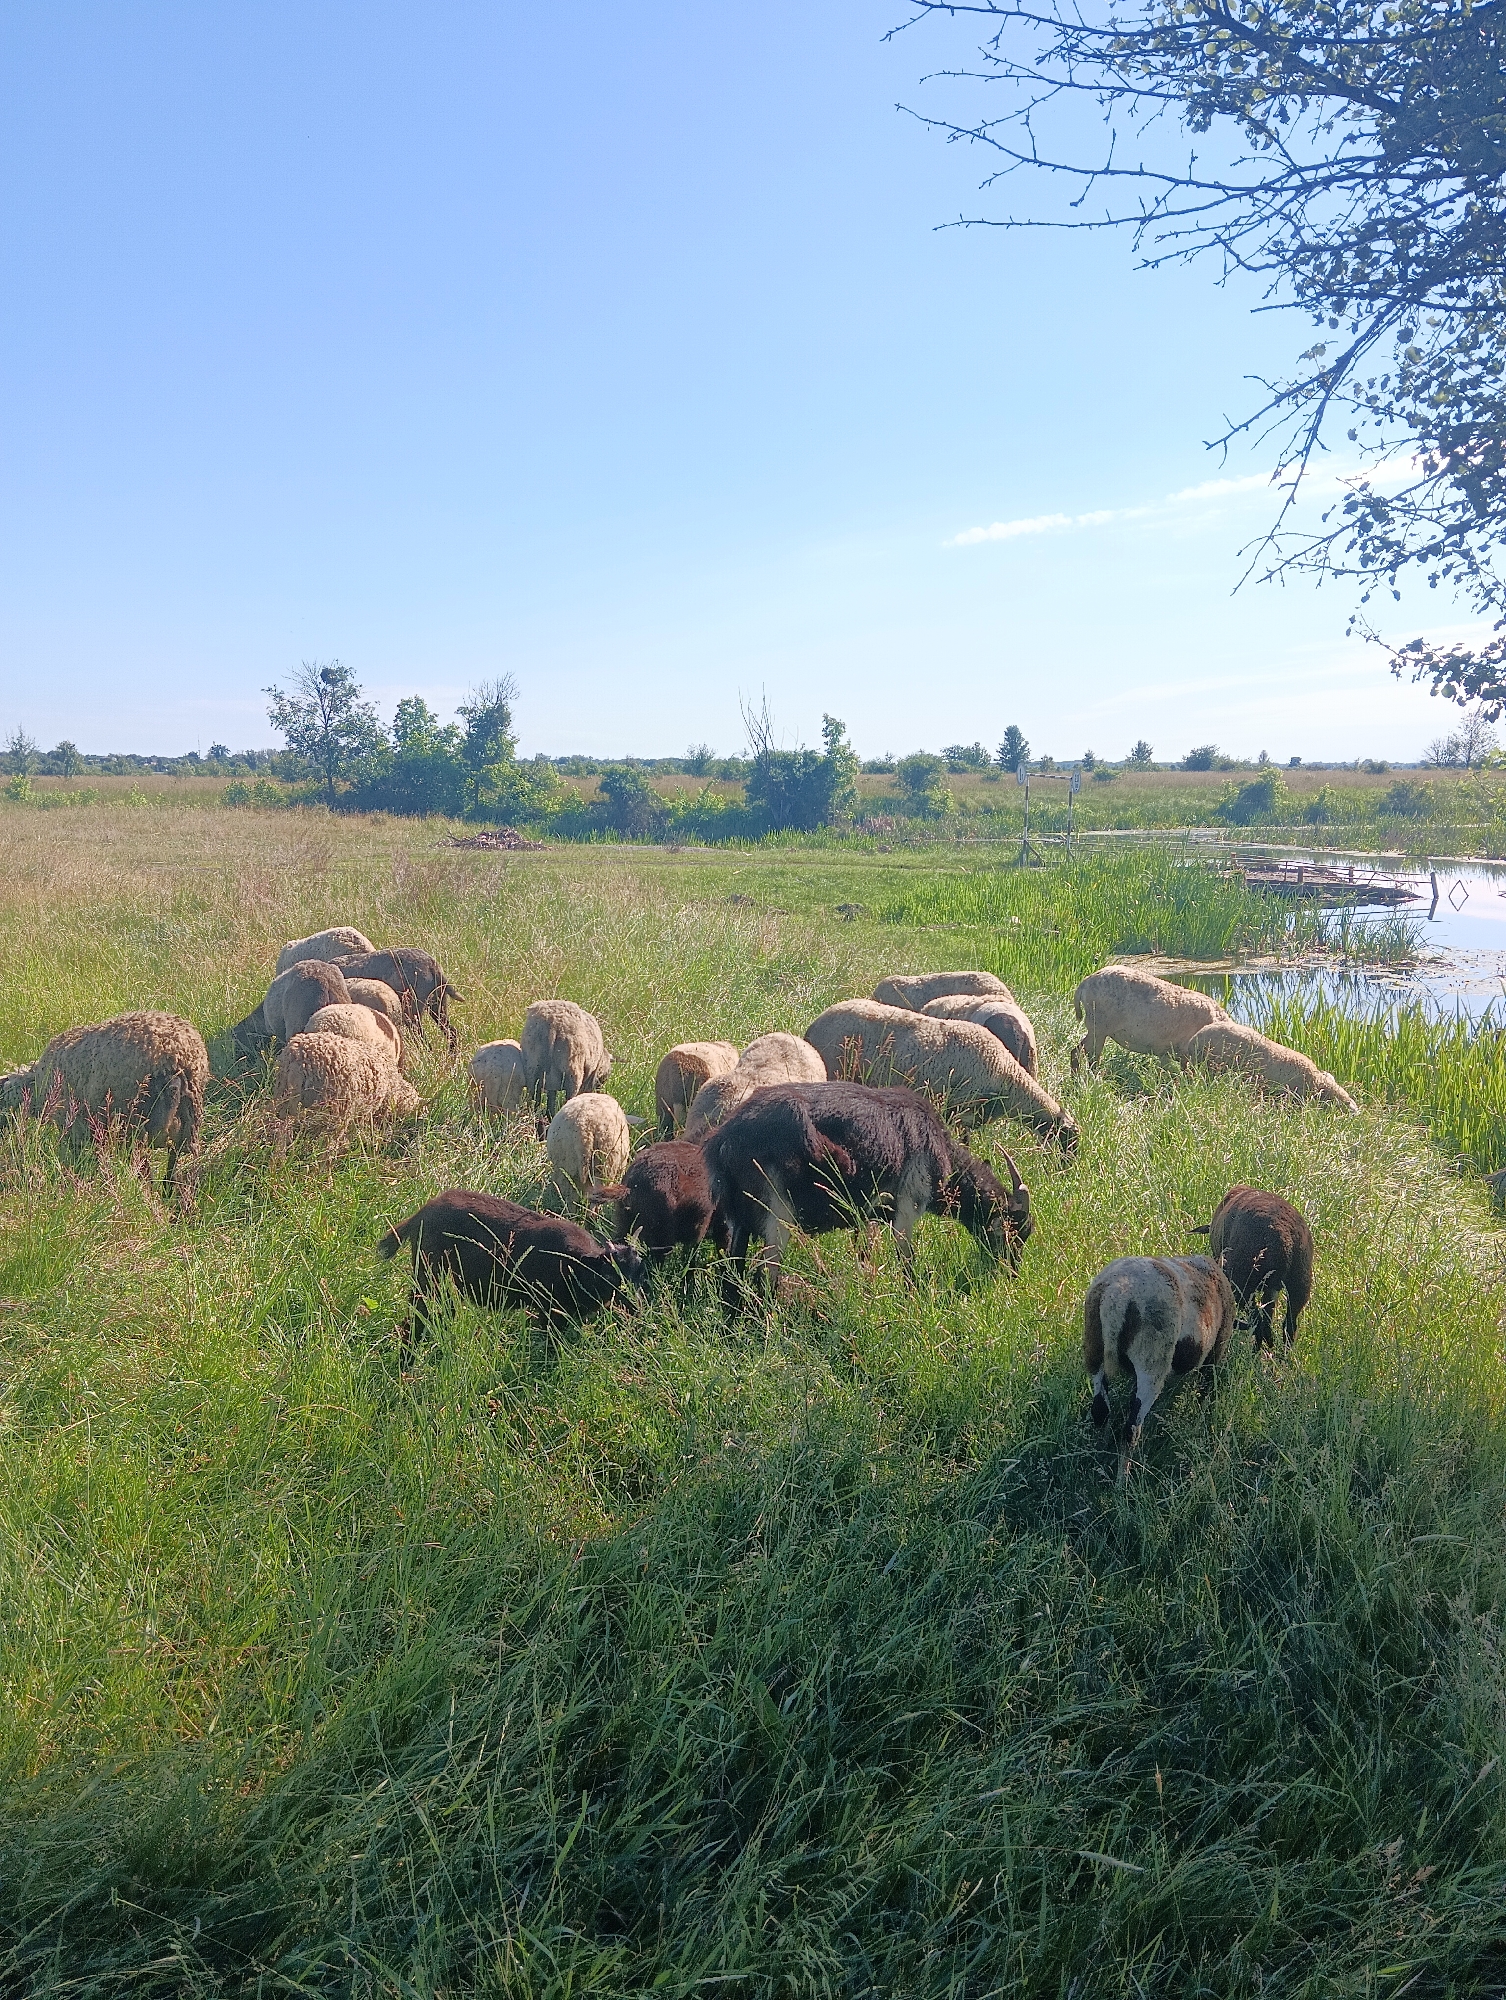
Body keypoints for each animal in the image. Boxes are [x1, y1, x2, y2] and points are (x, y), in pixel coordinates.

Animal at [0, 1010, 209, 1193]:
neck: (36, 1087)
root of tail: (173, 1056)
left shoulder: (76, 1126)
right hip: (189, 1123)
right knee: (175, 1168)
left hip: (134, 1123)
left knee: (145, 1169)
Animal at [378, 1189, 644, 1334]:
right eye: (610, 1274)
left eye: (639, 1271)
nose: (637, 1307)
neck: (577, 1265)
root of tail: (422, 1213)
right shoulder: (548, 1312)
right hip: (428, 1277)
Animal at [704, 1081, 1031, 1290]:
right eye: (1015, 1230)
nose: (1013, 1273)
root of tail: (724, 1140)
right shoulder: (907, 1208)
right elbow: (906, 1261)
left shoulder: (868, 1218)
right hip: (776, 1214)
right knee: (767, 1275)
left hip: (740, 1221)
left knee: (732, 1275)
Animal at [1083, 1254, 1236, 1471]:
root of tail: (1117, 1294)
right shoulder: (1215, 1354)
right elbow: (1205, 1394)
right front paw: (1201, 1426)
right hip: (1152, 1361)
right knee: (1131, 1429)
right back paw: (1123, 1477)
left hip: (1094, 1349)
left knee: (1100, 1411)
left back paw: (1098, 1459)